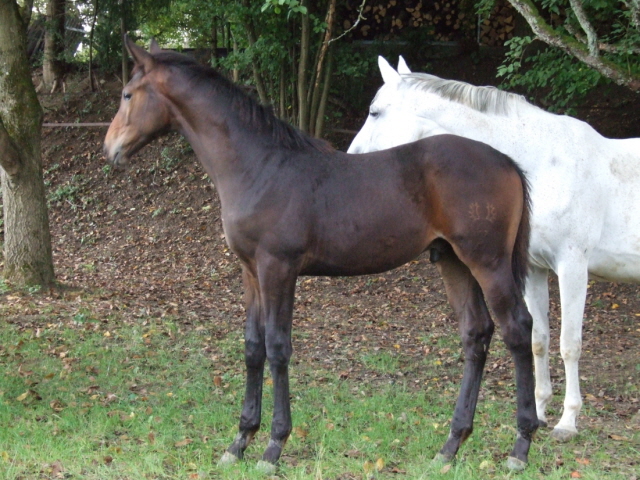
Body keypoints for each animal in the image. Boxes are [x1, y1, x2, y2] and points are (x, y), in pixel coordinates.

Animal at [107, 38, 536, 472]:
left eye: (127, 94)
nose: (110, 147)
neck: (259, 167)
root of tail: (508, 162)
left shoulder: (278, 267)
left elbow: (278, 347)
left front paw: (273, 446)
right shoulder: (250, 271)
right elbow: (253, 347)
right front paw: (239, 441)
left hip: (488, 262)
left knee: (518, 329)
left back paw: (520, 447)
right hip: (453, 261)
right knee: (476, 334)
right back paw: (450, 446)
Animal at [348, 55, 640, 442]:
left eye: (375, 112)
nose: (351, 157)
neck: (543, 164)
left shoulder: (572, 267)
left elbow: (570, 344)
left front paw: (567, 421)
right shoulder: (534, 269)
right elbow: (539, 338)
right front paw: (539, 412)